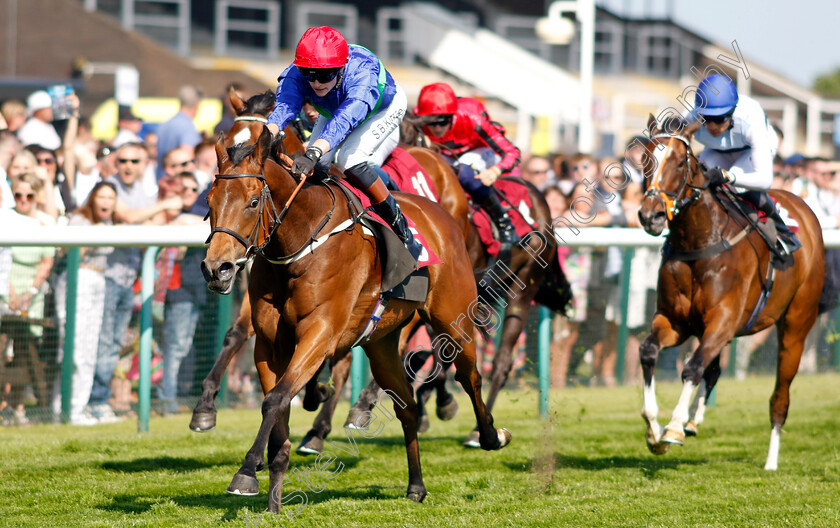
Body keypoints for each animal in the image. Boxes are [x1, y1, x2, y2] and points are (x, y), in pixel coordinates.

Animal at [202, 106, 512, 512]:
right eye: (209, 203)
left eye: (253, 202)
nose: (217, 268)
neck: (301, 239)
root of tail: (440, 211)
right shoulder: (269, 343)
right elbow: (277, 406)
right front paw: (272, 498)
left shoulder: (320, 332)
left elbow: (275, 400)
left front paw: (244, 474)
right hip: (381, 342)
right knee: (406, 404)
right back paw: (416, 485)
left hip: (452, 318)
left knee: (469, 375)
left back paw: (489, 434)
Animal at [636, 116, 820, 470]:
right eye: (644, 161)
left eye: (679, 162)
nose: (650, 215)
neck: (699, 241)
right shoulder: (676, 322)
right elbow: (650, 351)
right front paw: (654, 429)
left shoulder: (723, 320)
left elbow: (692, 368)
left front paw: (673, 428)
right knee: (714, 369)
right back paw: (695, 420)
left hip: (796, 327)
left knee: (780, 395)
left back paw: (771, 460)